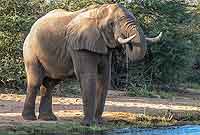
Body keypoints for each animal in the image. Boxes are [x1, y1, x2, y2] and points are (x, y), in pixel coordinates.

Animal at [21, 3, 162, 125]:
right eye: (111, 24)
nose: (127, 42)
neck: (99, 11)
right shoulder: (79, 46)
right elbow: (88, 76)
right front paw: (88, 124)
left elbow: (104, 77)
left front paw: (98, 123)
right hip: (30, 52)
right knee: (35, 82)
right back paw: (29, 118)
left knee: (50, 84)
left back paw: (48, 119)